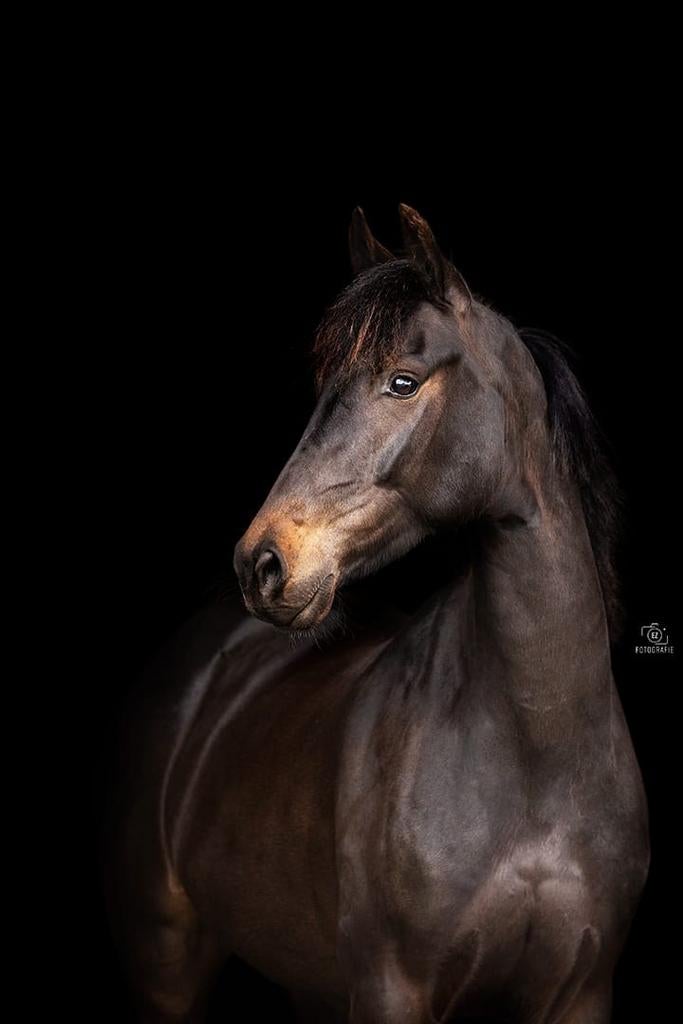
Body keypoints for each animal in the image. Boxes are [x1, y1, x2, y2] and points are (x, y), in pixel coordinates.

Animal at [106, 205, 650, 1023]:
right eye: (324, 387)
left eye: (402, 381)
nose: (262, 563)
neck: (539, 756)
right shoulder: (394, 989)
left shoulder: (580, 993)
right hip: (163, 959)